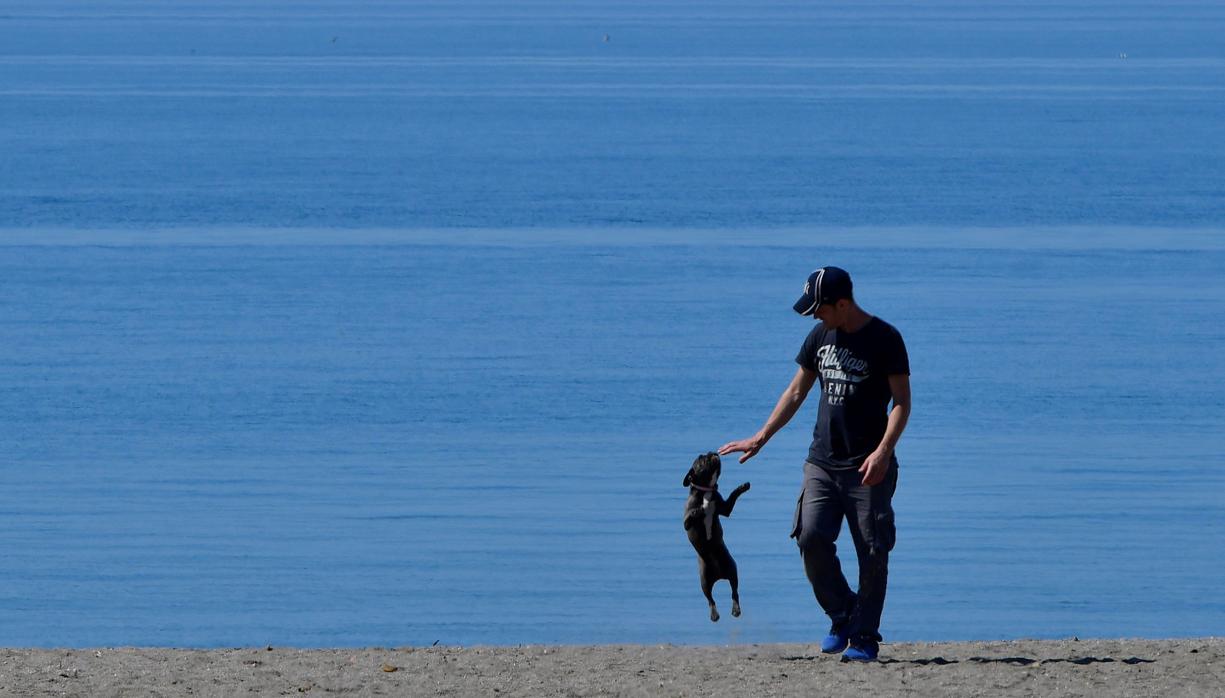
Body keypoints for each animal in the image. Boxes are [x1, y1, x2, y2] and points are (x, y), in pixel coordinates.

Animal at [686, 450, 749, 619]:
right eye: (701, 459)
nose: (711, 452)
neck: (706, 490)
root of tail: (719, 576)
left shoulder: (725, 508)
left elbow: (733, 495)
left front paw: (742, 487)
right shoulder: (686, 522)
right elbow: (689, 517)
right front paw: (698, 511)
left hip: (732, 569)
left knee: (734, 591)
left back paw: (735, 610)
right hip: (704, 580)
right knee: (710, 599)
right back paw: (714, 615)